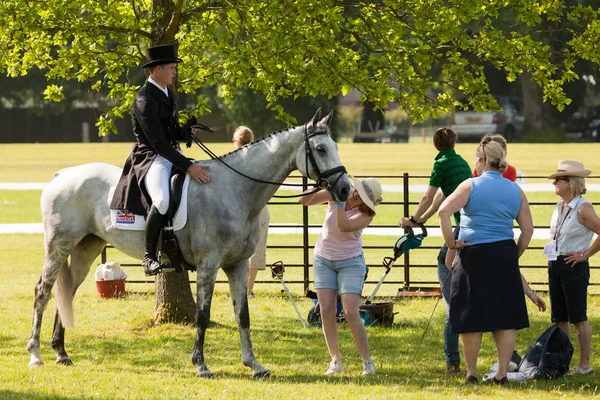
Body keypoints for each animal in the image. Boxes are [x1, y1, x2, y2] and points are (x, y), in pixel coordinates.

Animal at [27, 108, 352, 376]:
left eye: (336, 147)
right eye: (321, 148)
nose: (346, 190)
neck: (233, 190)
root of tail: (62, 175)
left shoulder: (237, 265)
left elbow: (243, 314)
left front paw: (254, 365)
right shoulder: (209, 265)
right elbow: (203, 315)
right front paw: (201, 365)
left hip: (87, 247)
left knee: (67, 290)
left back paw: (61, 352)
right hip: (58, 247)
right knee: (43, 291)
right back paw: (36, 355)